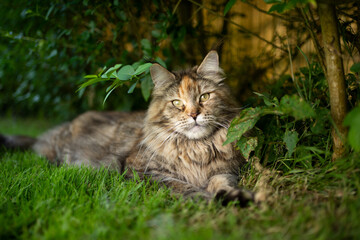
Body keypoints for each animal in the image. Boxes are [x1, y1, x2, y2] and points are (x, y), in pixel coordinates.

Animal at [0, 50, 255, 206]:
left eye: (204, 97)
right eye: (177, 103)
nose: (194, 115)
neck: (196, 149)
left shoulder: (224, 171)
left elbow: (222, 184)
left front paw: (234, 197)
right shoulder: (145, 173)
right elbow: (184, 188)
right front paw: (208, 200)